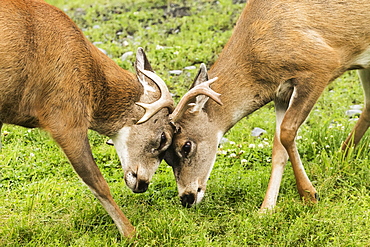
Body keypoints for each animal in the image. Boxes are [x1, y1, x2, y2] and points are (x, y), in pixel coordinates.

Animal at [161, 0, 370, 209]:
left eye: (186, 146)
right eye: (166, 157)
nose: (186, 198)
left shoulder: (321, 64)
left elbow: (287, 131)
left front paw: (309, 194)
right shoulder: (281, 93)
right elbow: (278, 148)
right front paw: (266, 208)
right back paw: (341, 156)